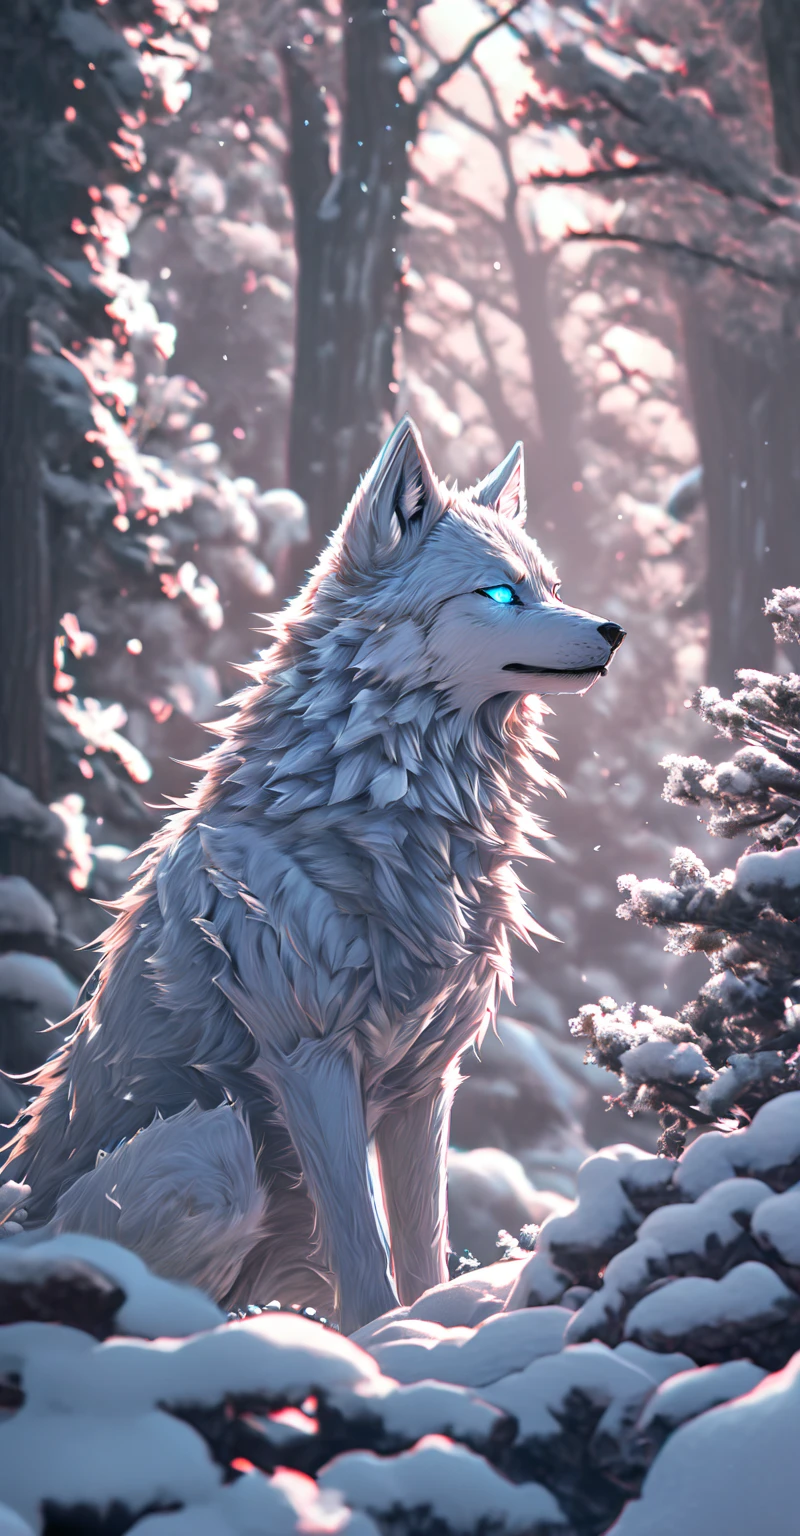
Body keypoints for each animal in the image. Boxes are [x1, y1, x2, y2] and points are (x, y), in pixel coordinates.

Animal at [1, 418, 625, 1333]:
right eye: (501, 595)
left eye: (546, 586)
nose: (614, 630)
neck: (382, 819)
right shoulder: (310, 1055)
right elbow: (364, 1258)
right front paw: (374, 1343)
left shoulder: (426, 1080)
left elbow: (422, 1249)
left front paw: (428, 1330)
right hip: (217, 1146)